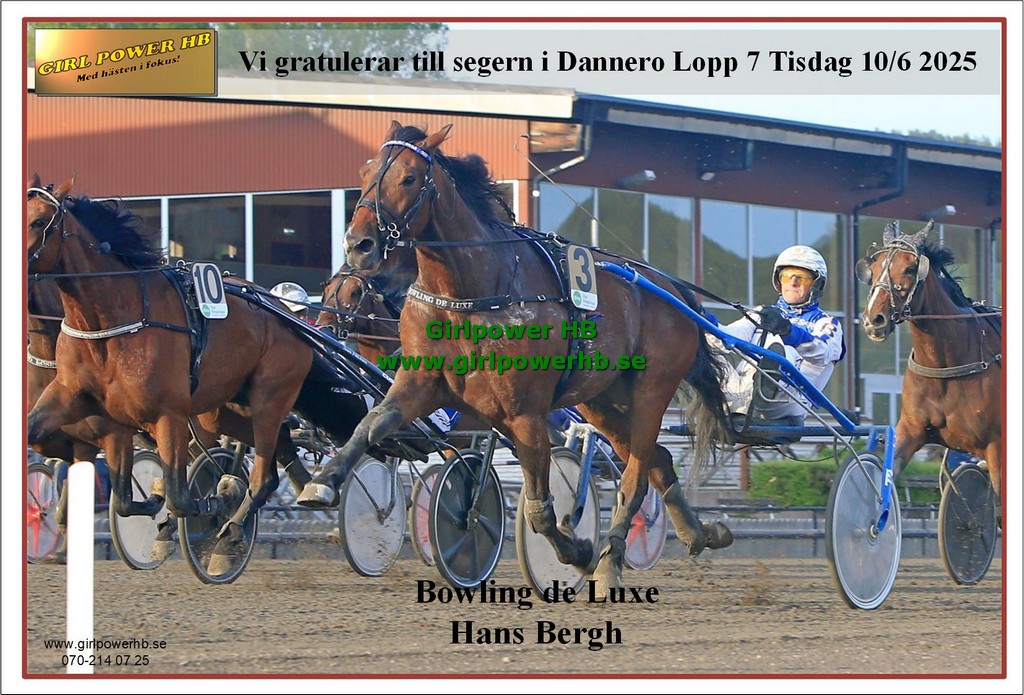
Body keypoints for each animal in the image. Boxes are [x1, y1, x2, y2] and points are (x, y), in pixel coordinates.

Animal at [25, 175, 315, 576]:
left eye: (39, 222)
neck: (109, 321)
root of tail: (286, 312)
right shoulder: (89, 408)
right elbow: (117, 495)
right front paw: (150, 503)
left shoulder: (168, 415)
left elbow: (180, 497)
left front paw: (208, 505)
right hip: (226, 410)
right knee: (277, 452)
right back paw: (311, 488)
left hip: (269, 398)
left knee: (260, 479)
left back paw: (232, 533)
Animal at [297, 122, 734, 591]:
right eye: (365, 171)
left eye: (409, 178)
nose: (358, 244)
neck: (470, 291)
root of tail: (669, 288)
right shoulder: (422, 385)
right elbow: (371, 424)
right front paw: (322, 481)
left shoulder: (524, 412)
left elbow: (539, 510)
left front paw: (578, 551)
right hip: (602, 400)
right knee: (658, 460)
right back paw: (700, 533)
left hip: (652, 389)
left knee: (634, 477)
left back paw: (609, 563)